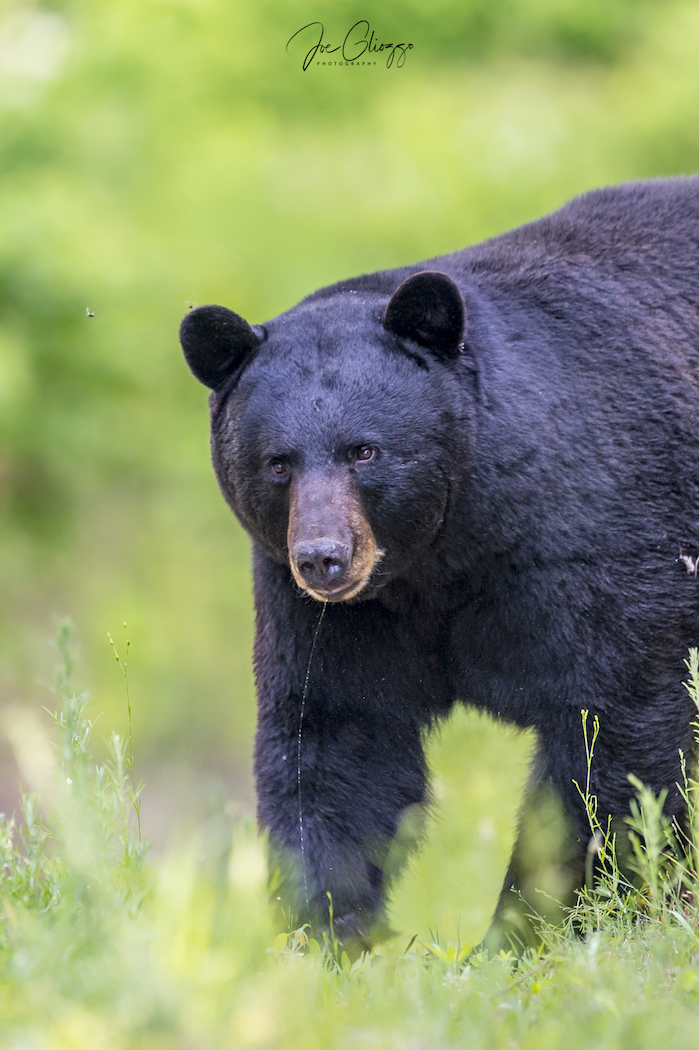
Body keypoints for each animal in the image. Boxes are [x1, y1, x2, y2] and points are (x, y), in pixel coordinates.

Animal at [177, 178, 696, 953]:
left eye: (365, 450)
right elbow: (337, 736)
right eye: (277, 463)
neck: (443, 553)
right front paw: (329, 930)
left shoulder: (599, 542)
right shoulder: (342, 615)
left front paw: (535, 929)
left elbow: (612, 731)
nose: (322, 558)